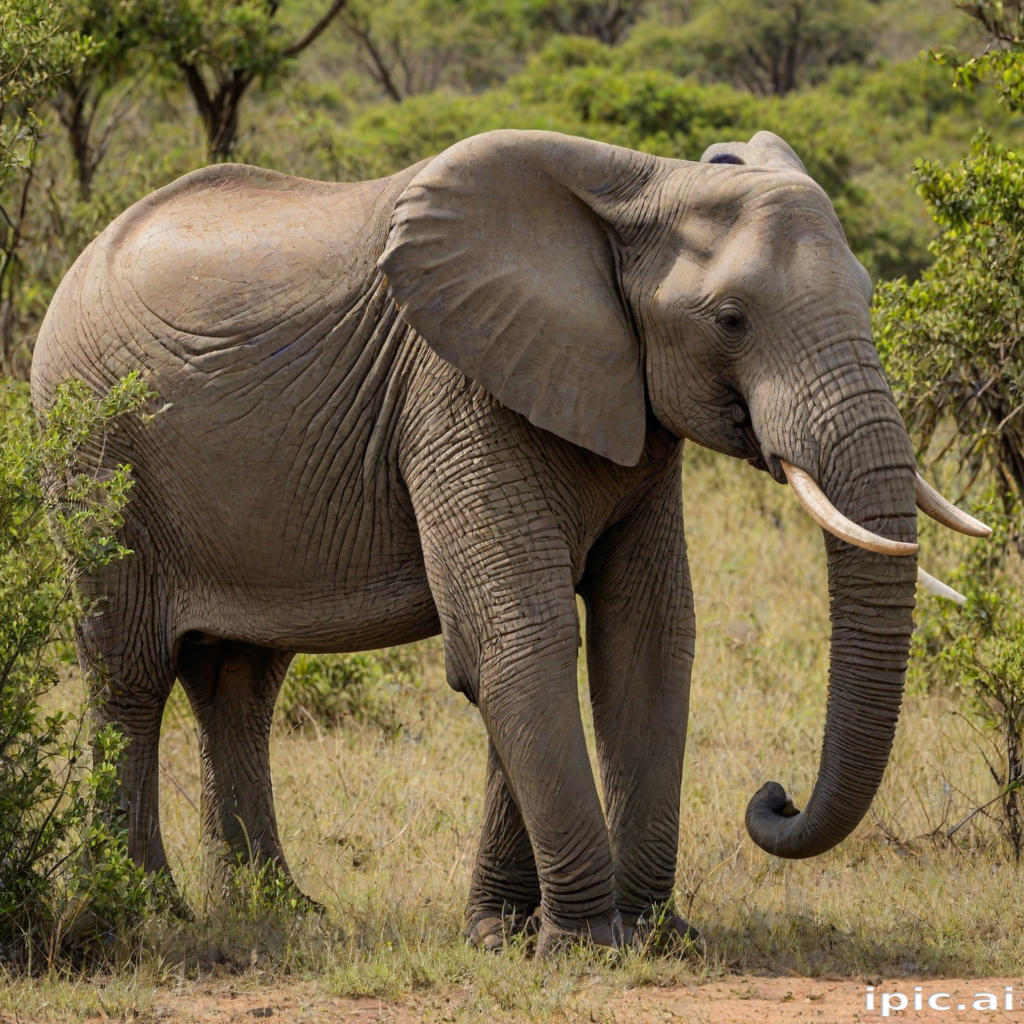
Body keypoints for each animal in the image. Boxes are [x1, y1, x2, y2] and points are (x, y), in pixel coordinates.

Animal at [30, 128, 986, 955]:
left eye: (869, 295)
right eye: (730, 320)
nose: (773, 798)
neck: (643, 189)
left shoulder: (623, 410)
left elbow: (642, 641)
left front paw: (606, 937)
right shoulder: (457, 390)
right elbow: (518, 641)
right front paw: (587, 946)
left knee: (238, 681)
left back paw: (280, 913)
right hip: (95, 451)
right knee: (128, 674)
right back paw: (144, 914)